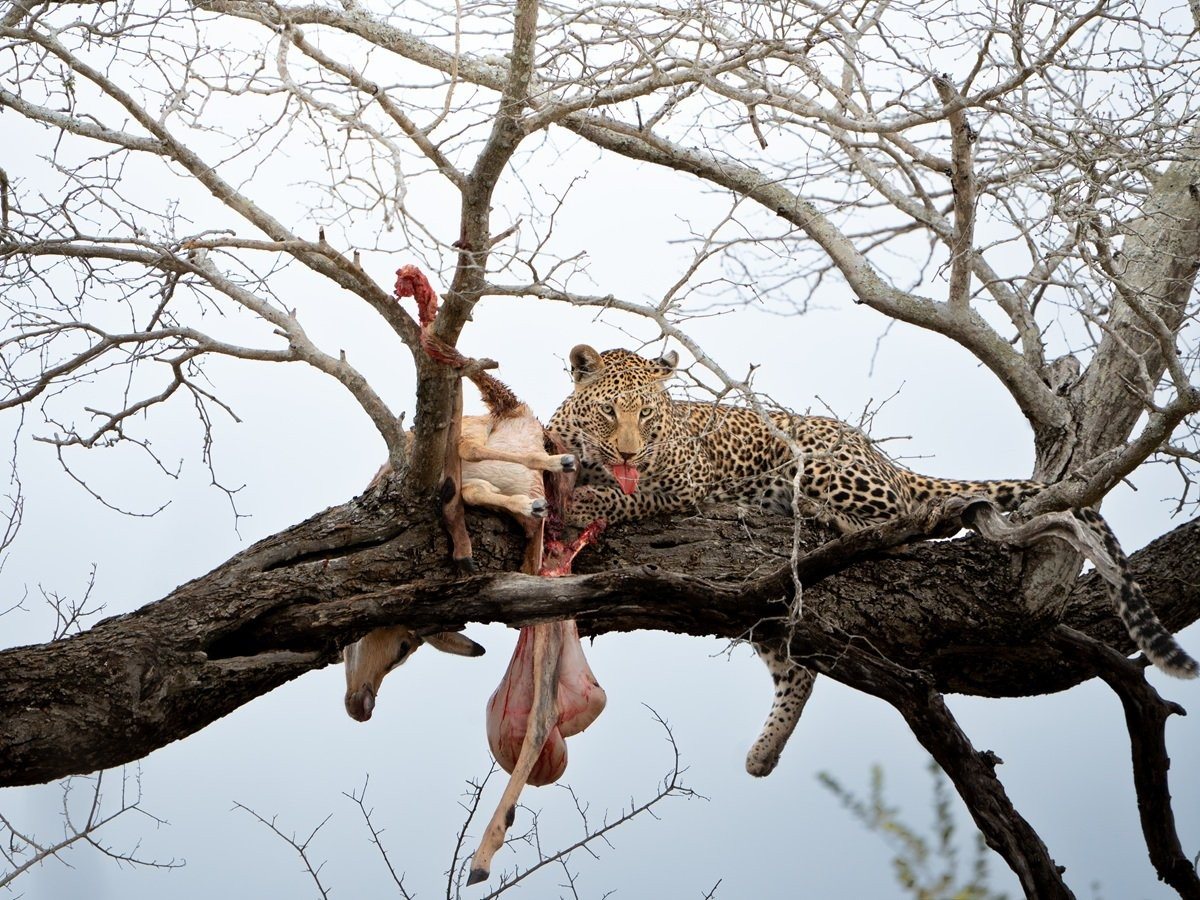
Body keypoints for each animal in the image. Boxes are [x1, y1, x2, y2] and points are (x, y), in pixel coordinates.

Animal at [548, 344, 1198, 777]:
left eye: (647, 416)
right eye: (610, 412)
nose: (631, 450)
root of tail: (888, 461)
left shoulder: (687, 479)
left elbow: (633, 494)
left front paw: (591, 498)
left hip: (825, 467)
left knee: (903, 525)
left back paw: (831, 518)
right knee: (797, 668)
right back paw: (765, 752)